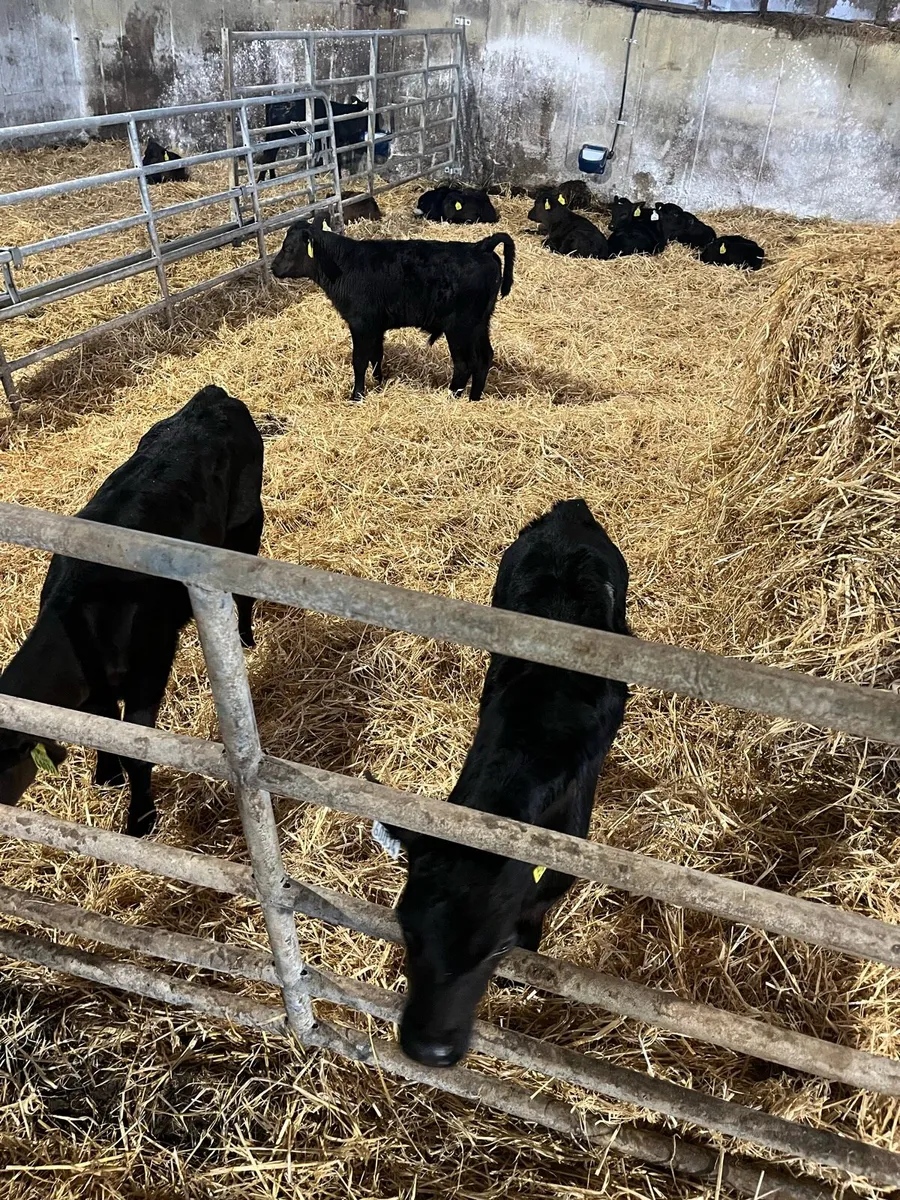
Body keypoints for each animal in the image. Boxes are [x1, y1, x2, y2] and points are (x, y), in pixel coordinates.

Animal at [0, 386, 264, 838]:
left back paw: (244, 639)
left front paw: (140, 818)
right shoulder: (99, 691)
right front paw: (107, 775)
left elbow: (139, 749)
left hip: (246, 524)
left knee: (243, 595)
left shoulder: (148, 672)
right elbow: (107, 730)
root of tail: (210, 396)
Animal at [256, 96, 386, 182]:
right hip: (277, 136)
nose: (379, 129)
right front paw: (339, 177)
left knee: (270, 157)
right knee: (269, 156)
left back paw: (271, 177)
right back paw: (262, 180)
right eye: (376, 117)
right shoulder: (337, 140)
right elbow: (338, 159)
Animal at [271, 220, 515, 403]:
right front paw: (379, 383)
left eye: (289, 248)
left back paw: (452, 398)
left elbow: (359, 360)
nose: (273, 267)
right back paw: (474, 399)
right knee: (484, 358)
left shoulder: (361, 324)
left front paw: (356, 396)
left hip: (459, 328)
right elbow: (376, 356)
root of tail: (480, 246)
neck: (344, 265)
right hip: (480, 324)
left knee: (464, 364)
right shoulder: (376, 326)